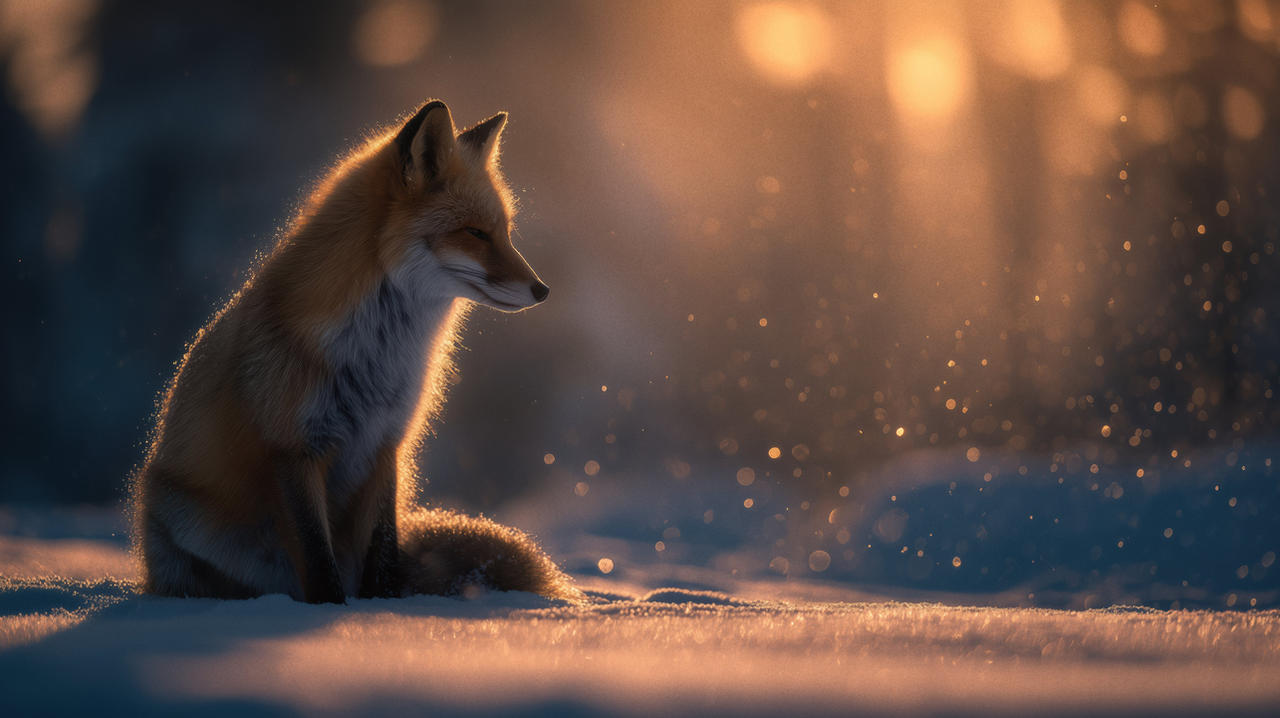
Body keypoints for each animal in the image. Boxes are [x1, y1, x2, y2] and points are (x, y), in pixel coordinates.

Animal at [131, 100, 582, 605]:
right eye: (475, 233)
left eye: (504, 232)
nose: (543, 290)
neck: (378, 355)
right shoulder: (294, 450)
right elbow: (318, 559)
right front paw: (333, 610)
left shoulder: (385, 443)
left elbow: (382, 555)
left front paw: (379, 610)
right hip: (186, 521)